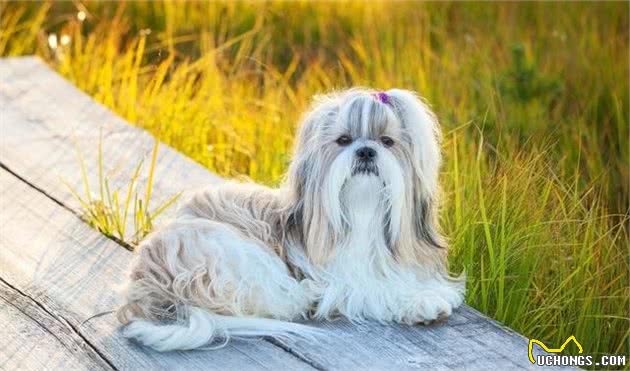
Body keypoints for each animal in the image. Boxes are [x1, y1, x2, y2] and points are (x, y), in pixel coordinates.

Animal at [117, 87, 464, 352]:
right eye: (344, 140)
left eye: (387, 142)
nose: (366, 151)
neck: (363, 215)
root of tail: (145, 287)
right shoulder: (338, 281)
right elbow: (373, 290)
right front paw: (422, 302)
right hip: (221, 246)